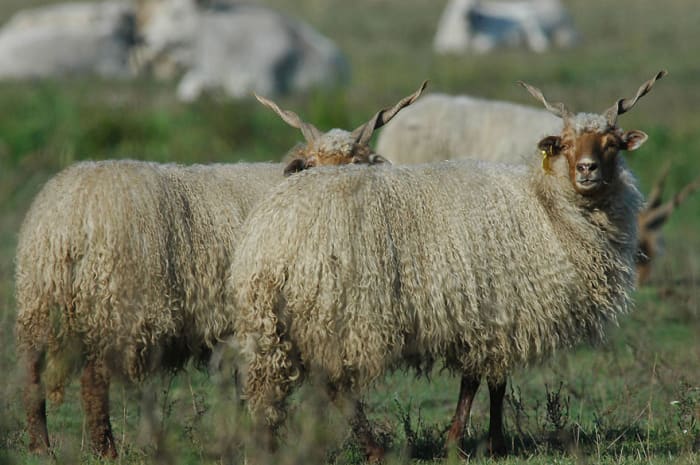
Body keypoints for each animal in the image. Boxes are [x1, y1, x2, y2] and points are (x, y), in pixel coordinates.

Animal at [14, 81, 426, 458]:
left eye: (357, 165)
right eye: (313, 166)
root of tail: (69, 217)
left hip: (39, 299)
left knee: (32, 373)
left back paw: (41, 448)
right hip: (114, 304)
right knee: (93, 379)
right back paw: (105, 451)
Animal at [228, 71, 665, 460]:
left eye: (613, 144)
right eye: (566, 144)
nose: (587, 169)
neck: (545, 206)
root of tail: (269, 235)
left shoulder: (488, 316)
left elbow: (487, 381)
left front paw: (482, 441)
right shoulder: (496, 311)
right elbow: (484, 381)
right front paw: (472, 442)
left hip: (274, 326)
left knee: (267, 391)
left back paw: (267, 449)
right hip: (338, 314)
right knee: (336, 387)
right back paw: (374, 451)